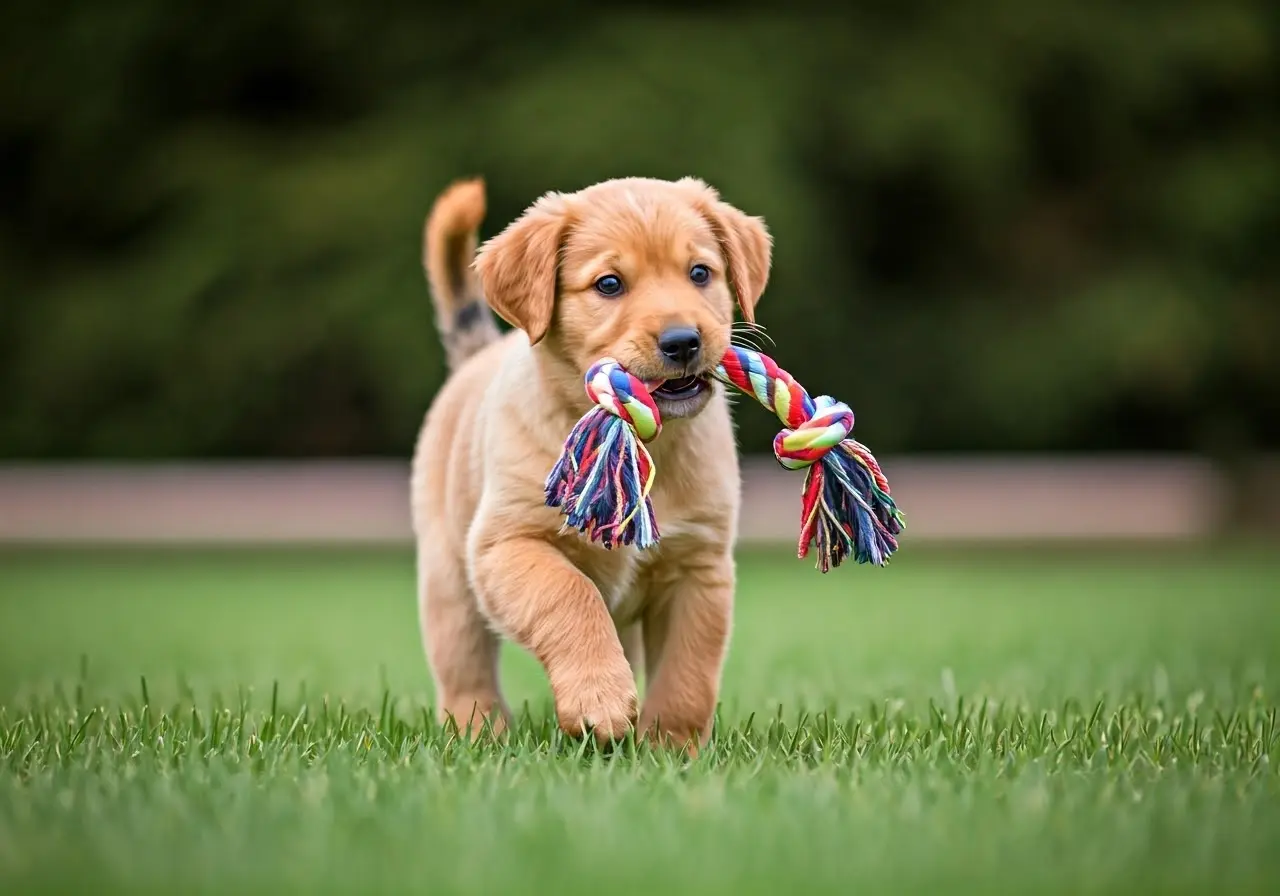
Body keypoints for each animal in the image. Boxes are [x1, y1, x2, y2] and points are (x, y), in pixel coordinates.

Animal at [412, 175, 768, 747]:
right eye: (609, 284)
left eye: (700, 273)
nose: (683, 341)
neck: (641, 444)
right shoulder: (506, 543)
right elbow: (571, 594)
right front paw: (599, 700)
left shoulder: (698, 566)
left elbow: (688, 673)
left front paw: (672, 746)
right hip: (449, 579)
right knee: (464, 670)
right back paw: (478, 732)